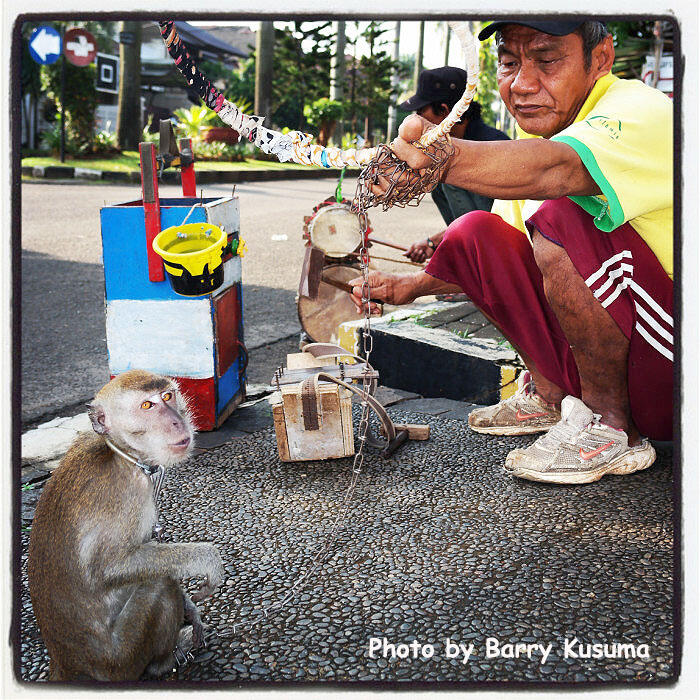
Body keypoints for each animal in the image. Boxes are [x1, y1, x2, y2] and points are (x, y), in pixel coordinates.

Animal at [26, 370, 224, 680]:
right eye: (147, 406)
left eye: (168, 396)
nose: (176, 421)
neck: (122, 455)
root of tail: (65, 664)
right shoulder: (124, 498)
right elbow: (111, 566)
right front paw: (207, 560)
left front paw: (190, 609)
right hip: (120, 661)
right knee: (158, 583)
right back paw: (164, 661)